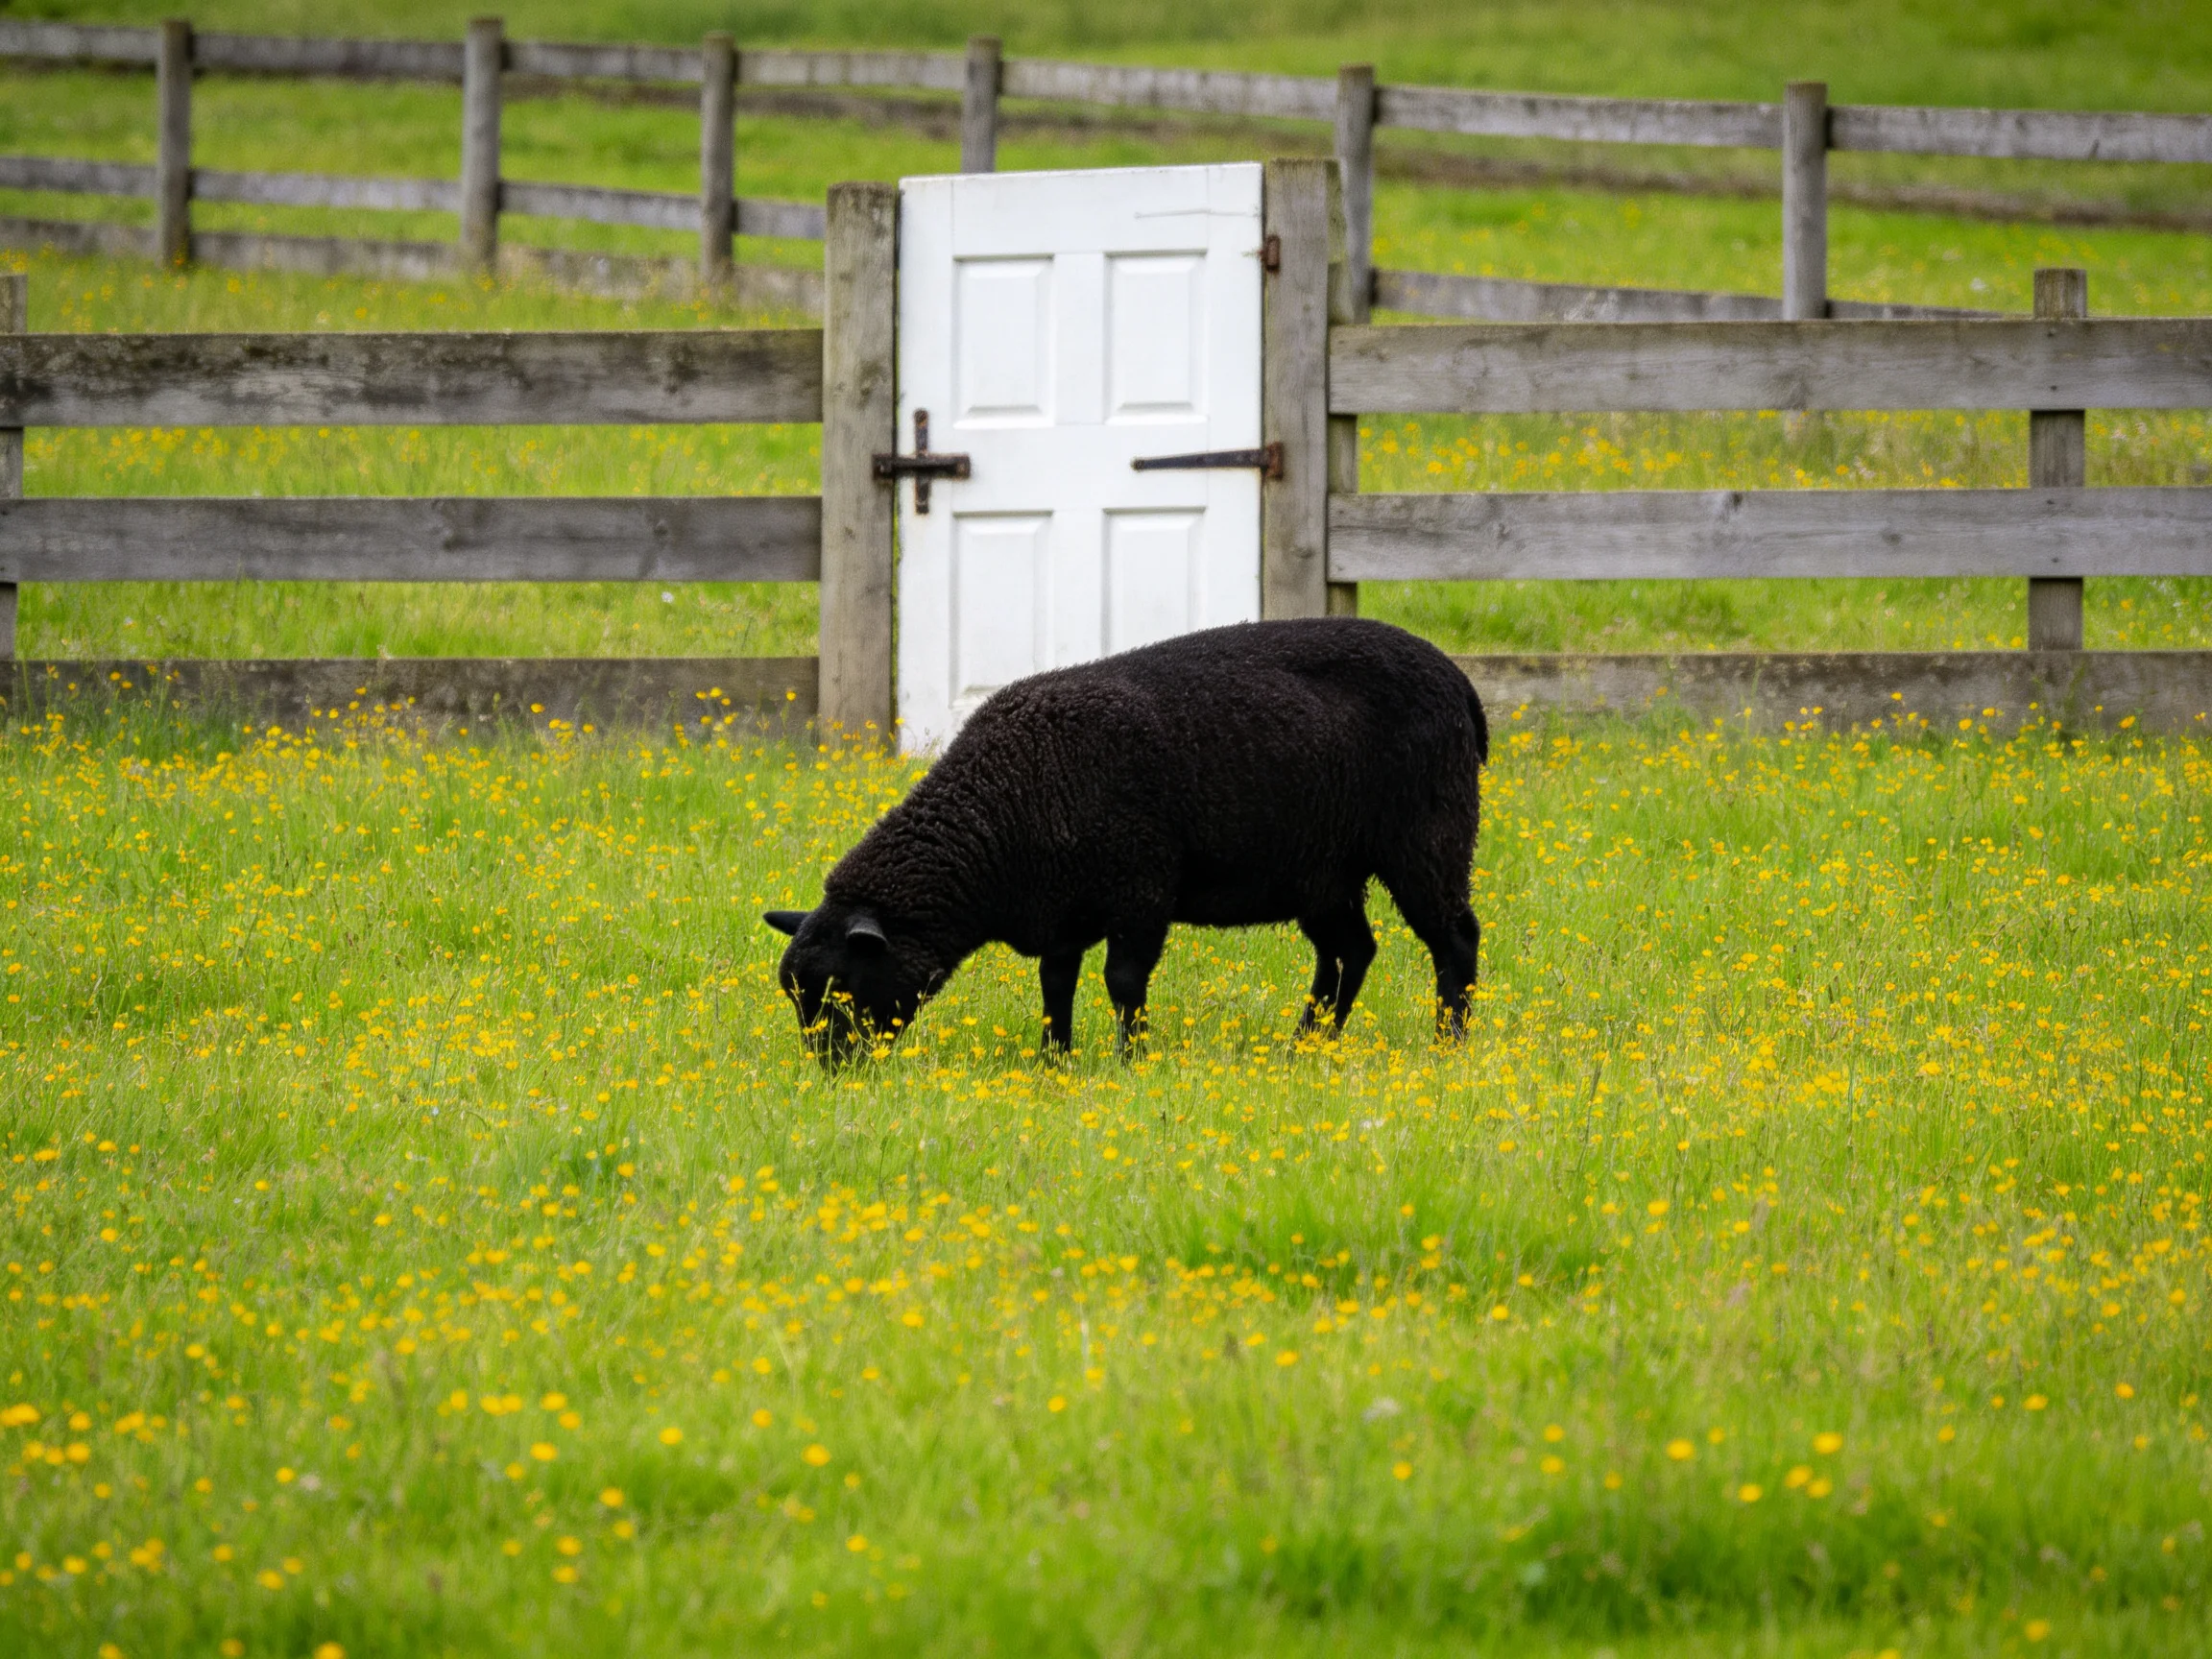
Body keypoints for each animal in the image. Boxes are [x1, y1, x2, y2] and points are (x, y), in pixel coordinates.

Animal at [764, 616, 1488, 1064]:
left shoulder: (1140, 890)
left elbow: (1122, 981)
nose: (831, 1071)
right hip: (1324, 871)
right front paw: (1055, 1061)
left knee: (1454, 939)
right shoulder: (1061, 915)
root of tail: (1459, 683)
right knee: (1349, 952)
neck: (1002, 808)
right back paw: (1307, 1045)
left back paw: (1448, 1043)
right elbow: (1056, 986)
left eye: (839, 987)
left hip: (1428, 837)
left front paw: (1129, 1058)